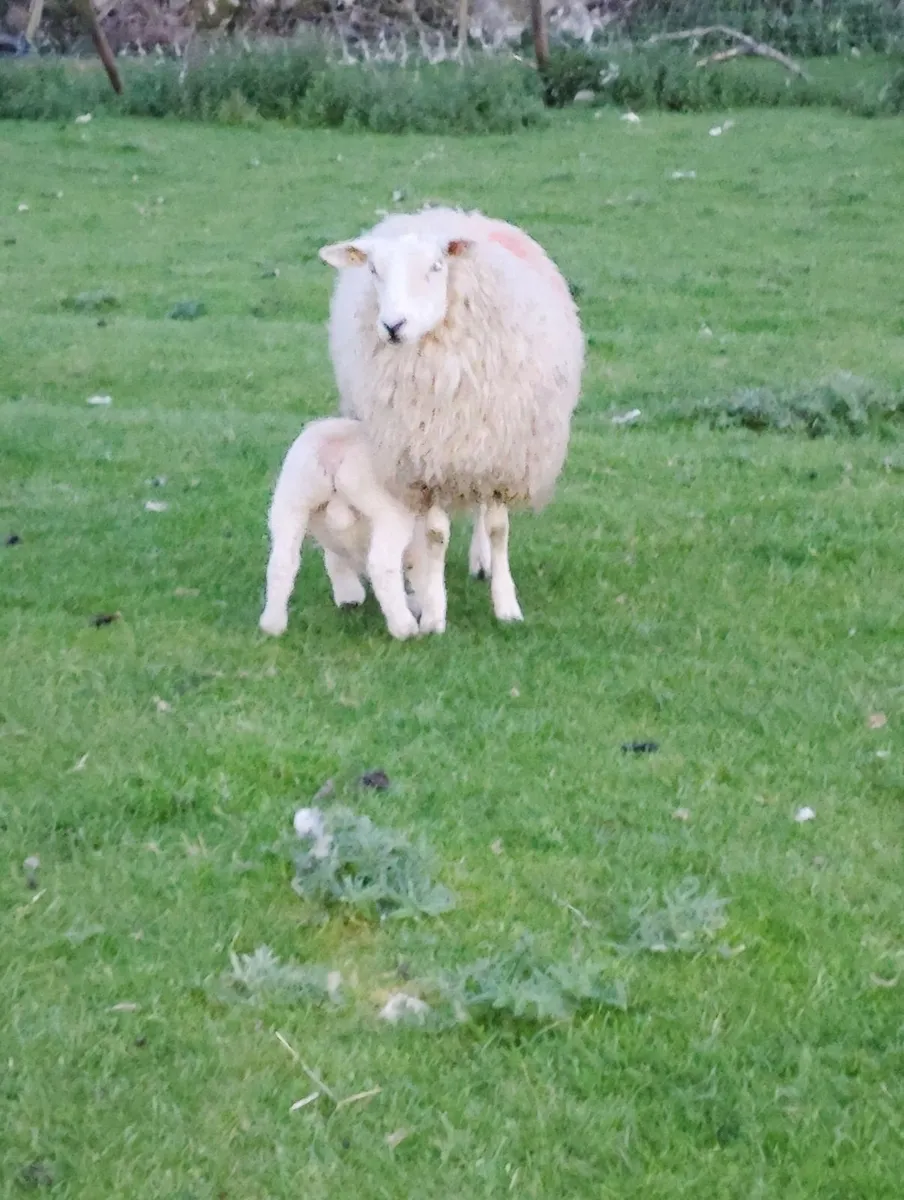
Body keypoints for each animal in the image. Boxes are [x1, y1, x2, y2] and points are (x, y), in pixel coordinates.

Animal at [259, 416, 441, 641]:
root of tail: (334, 448)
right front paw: (432, 619)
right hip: (387, 508)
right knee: (382, 564)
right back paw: (404, 628)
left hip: (291, 500)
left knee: (282, 562)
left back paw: (272, 624)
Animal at [319, 206, 584, 631]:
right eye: (374, 269)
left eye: (436, 266)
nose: (393, 326)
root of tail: (444, 213)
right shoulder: (427, 462)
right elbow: (435, 534)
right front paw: (433, 610)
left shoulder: (501, 456)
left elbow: (498, 528)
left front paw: (506, 605)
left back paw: (483, 562)